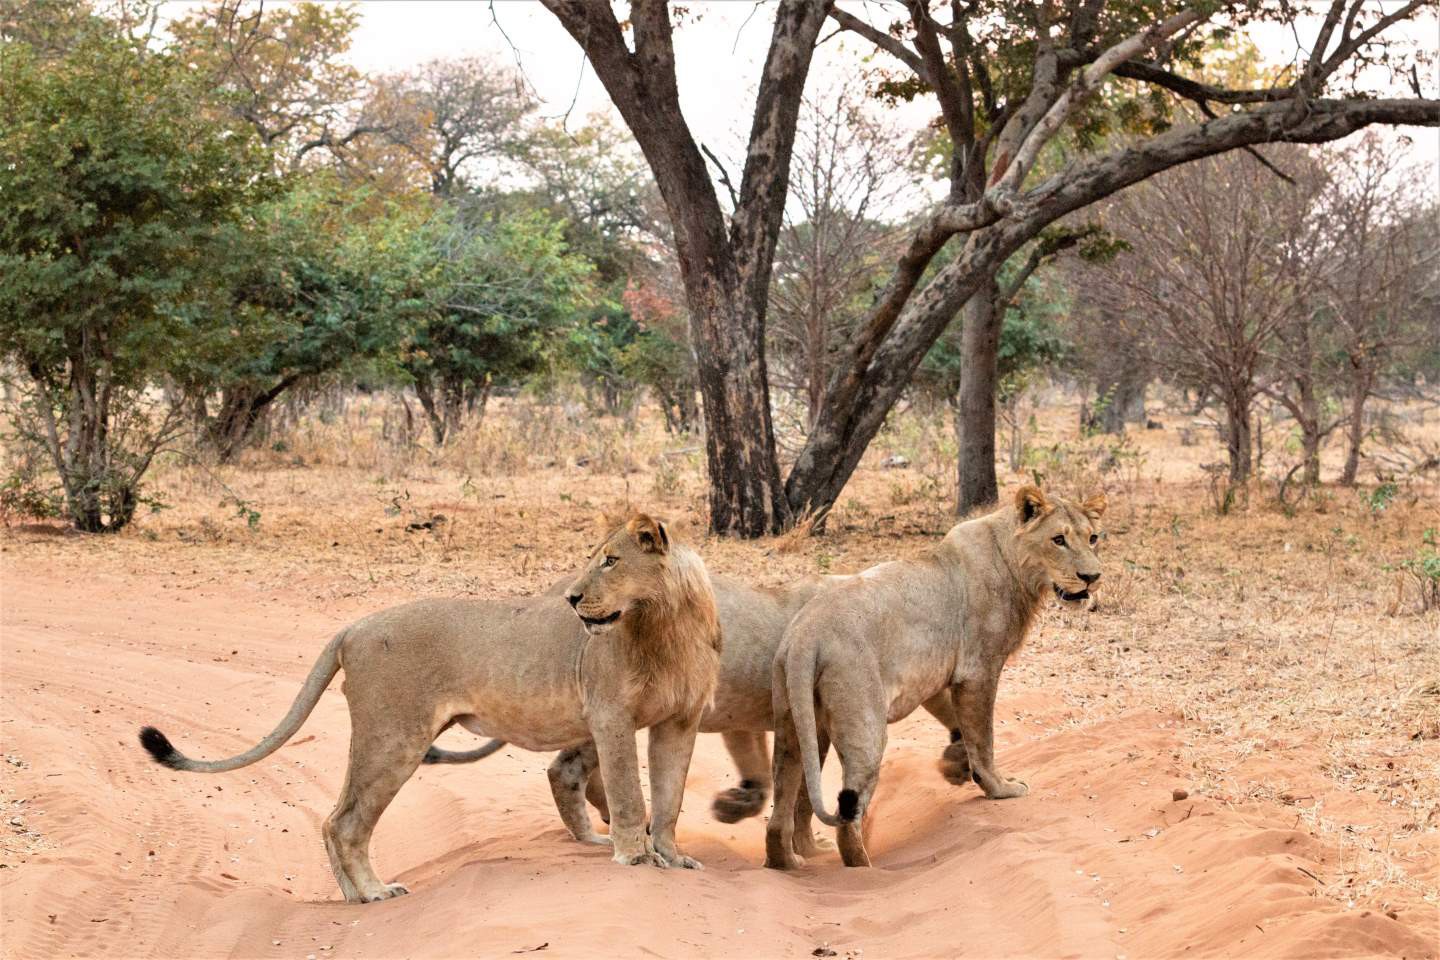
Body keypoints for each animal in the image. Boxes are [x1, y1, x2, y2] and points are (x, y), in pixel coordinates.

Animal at [136, 515, 720, 903]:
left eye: (611, 560)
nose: (572, 599)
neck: (667, 624)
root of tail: (353, 627)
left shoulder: (680, 722)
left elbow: (669, 799)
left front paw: (674, 858)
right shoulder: (610, 716)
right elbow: (630, 795)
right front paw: (636, 859)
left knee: (332, 821)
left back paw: (355, 898)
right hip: (393, 737)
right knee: (343, 821)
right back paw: (376, 893)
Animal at [420, 569, 979, 857]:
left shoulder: (745, 714)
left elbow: (767, 773)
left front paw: (740, 805)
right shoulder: (799, 716)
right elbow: (801, 791)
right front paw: (806, 845)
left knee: (571, 768)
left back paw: (615, 826)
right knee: (573, 768)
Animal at [771, 489, 1105, 869]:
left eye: (1093, 538)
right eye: (1058, 539)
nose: (1092, 576)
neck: (1012, 561)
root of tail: (805, 635)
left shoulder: (934, 675)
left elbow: (956, 722)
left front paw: (955, 767)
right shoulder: (979, 670)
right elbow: (983, 738)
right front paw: (999, 788)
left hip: (792, 727)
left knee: (781, 805)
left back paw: (786, 861)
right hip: (865, 731)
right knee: (848, 814)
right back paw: (865, 867)